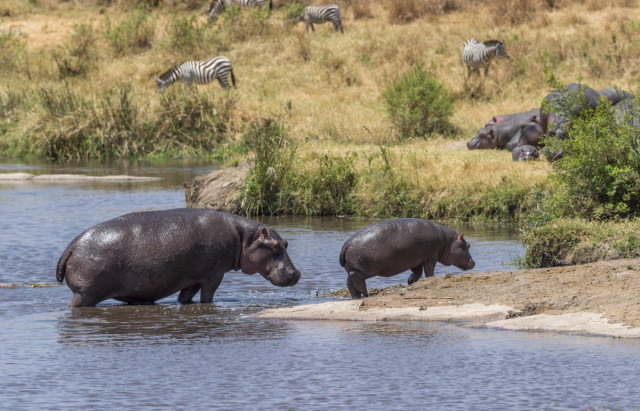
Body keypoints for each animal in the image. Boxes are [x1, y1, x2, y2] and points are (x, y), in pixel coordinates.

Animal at [55, 209, 300, 308]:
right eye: (275, 245)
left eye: (287, 243)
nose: (296, 273)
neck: (243, 237)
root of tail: (71, 247)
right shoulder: (214, 275)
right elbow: (207, 298)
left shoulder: (194, 278)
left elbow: (185, 298)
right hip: (85, 294)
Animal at [340, 220, 476, 298]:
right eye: (468, 245)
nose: (474, 262)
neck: (447, 241)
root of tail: (347, 243)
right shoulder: (430, 258)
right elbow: (429, 271)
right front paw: (430, 279)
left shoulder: (416, 260)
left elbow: (417, 272)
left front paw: (410, 281)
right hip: (365, 269)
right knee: (355, 277)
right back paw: (365, 293)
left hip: (353, 267)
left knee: (349, 282)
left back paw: (358, 296)